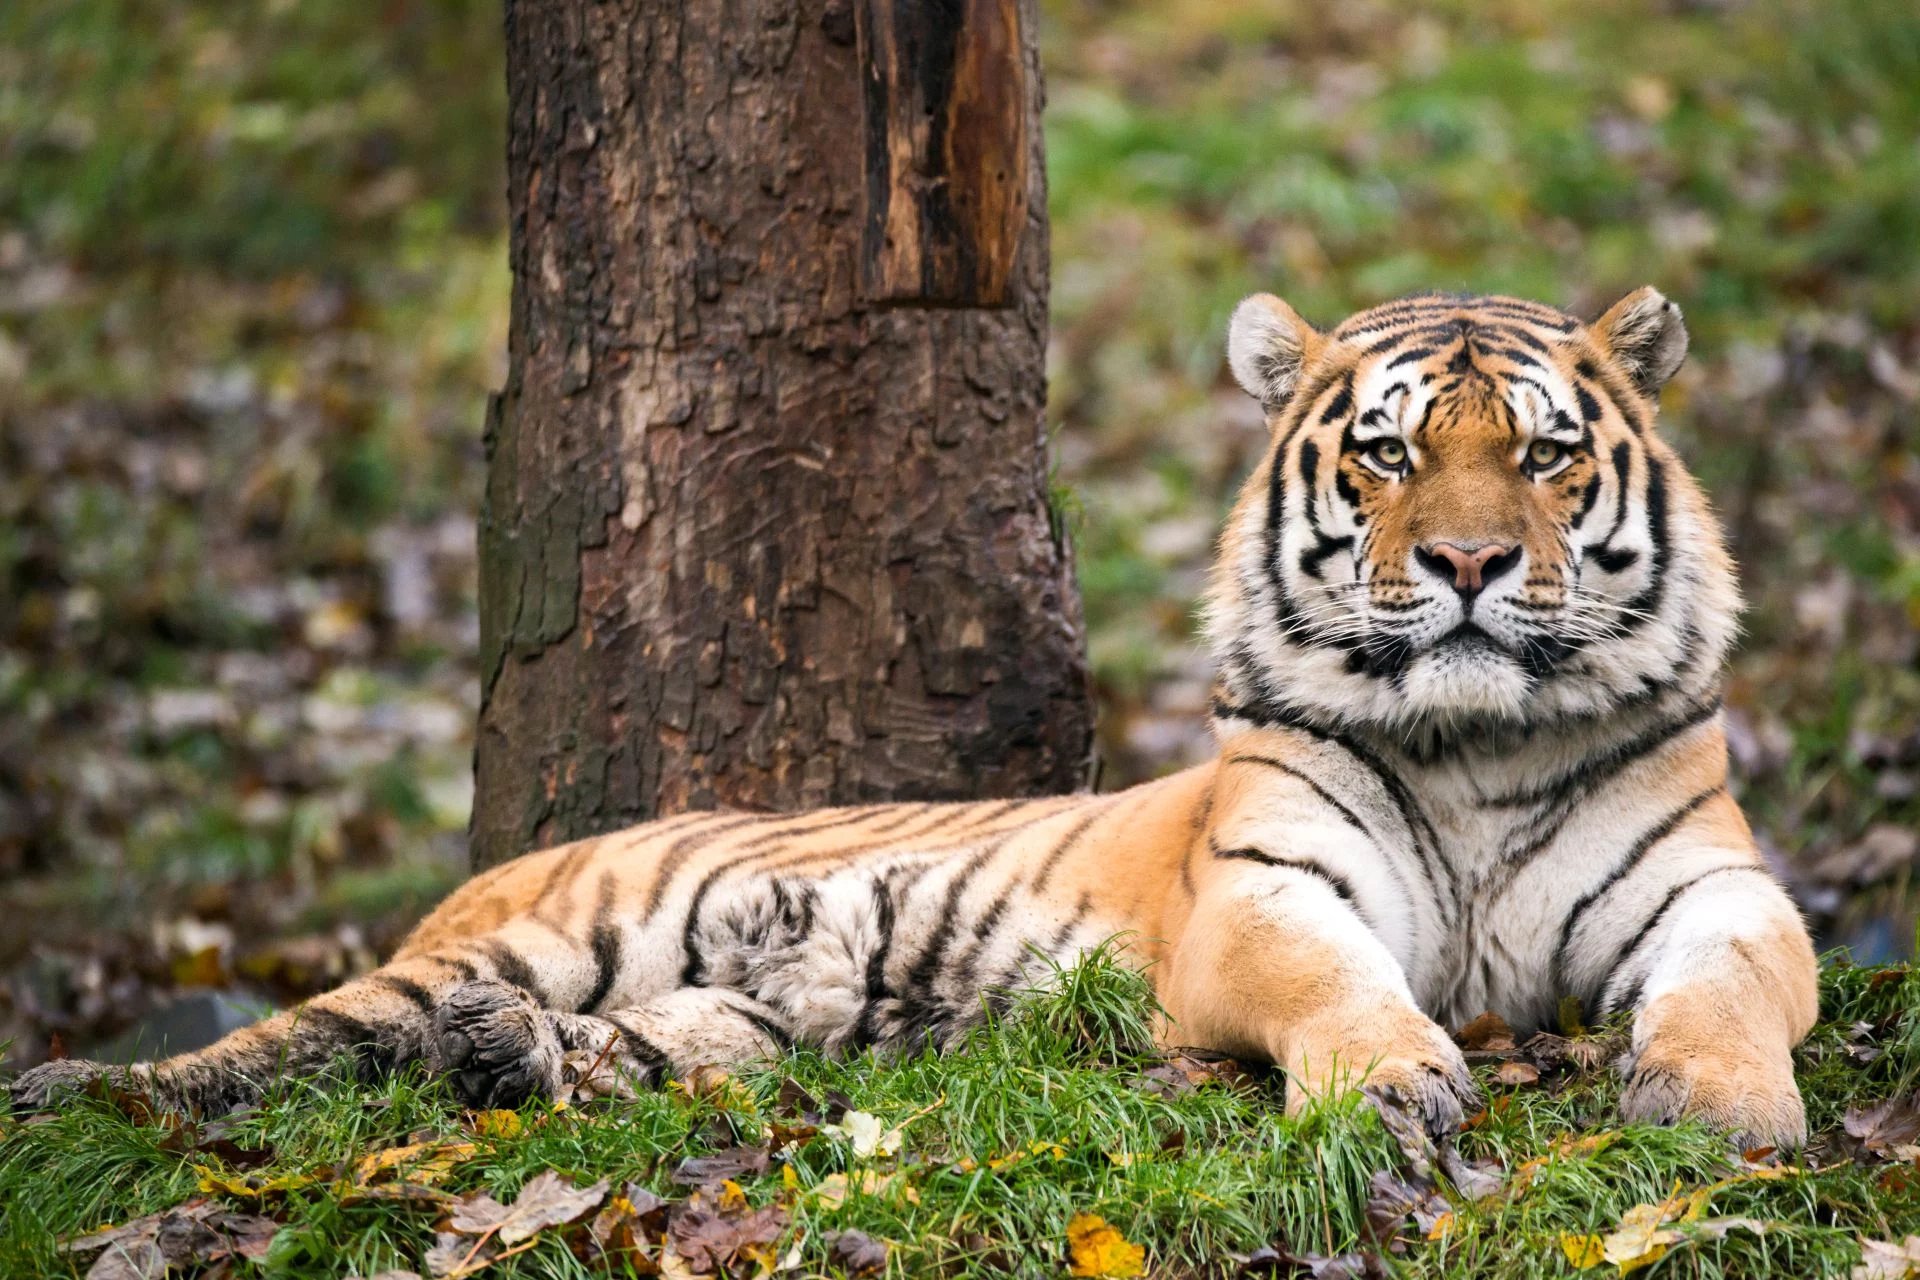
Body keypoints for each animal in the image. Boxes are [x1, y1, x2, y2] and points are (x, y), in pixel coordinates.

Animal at [11, 287, 1818, 1148]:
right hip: (531, 937)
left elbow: (1731, 988)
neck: (1475, 747)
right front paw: (1394, 1085)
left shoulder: (1720, 889)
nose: (1464, 563)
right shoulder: (1266, 896)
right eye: (1383, 454)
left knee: (603, 1053)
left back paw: (515, 1061)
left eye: (1543, 454)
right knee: (279, 1046)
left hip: (746, 1018)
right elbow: (1339, 983)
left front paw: (1724, 1113)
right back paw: (76, 1097)